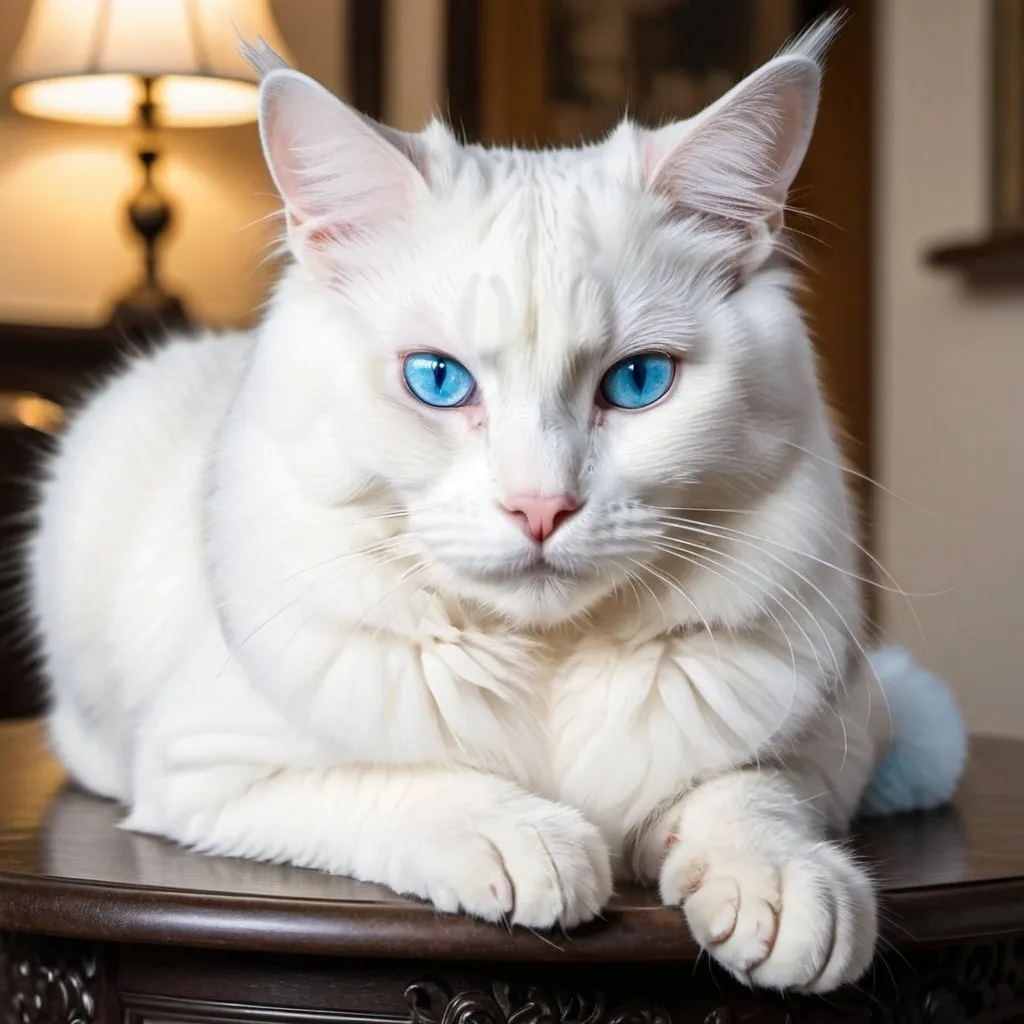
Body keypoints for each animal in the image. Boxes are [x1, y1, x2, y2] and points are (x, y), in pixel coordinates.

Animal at [29, 22, 897, 991]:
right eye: (438, 381)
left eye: (638, 382)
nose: (540, 508)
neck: (547, 657)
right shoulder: (205, 768)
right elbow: (406, 783)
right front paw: (530, 842)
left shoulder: (837, 745)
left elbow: (749, 793)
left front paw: (785, 892)